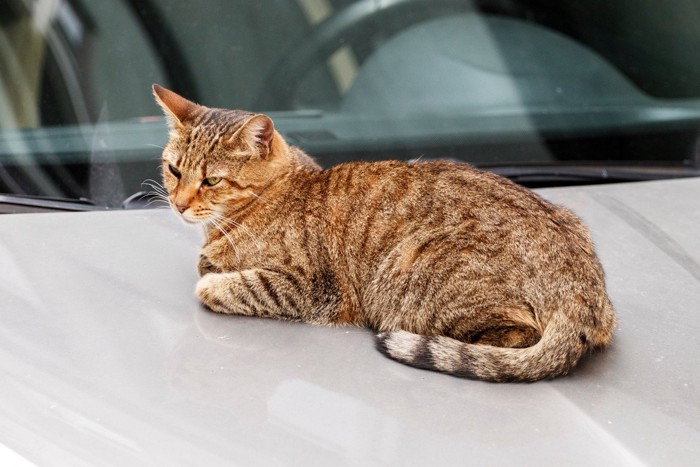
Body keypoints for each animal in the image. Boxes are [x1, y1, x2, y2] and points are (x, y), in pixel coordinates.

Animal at [152, 85, 612, 384]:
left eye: (211, 181)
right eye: (174, 170)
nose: (178, 203)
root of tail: (583, 291)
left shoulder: (315, 287)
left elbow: (235, 284)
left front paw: (213, 283)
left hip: (415, 275)